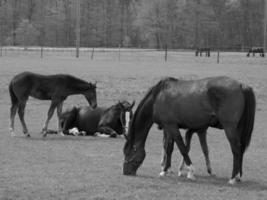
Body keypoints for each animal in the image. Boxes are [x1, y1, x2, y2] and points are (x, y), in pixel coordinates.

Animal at [124, 76, 256, 184]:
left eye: (127, 153)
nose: (125, 172)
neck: (158, 97)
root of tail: (241, 85)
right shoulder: (168, 127)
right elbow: (169, 148)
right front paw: (165, 170)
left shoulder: (171, 126)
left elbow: (181, 147)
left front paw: (190, 171)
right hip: (238, 128)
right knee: (241, 149)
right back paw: (238, 176)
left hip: (230, 128)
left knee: (236, 150)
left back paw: (233, 178)